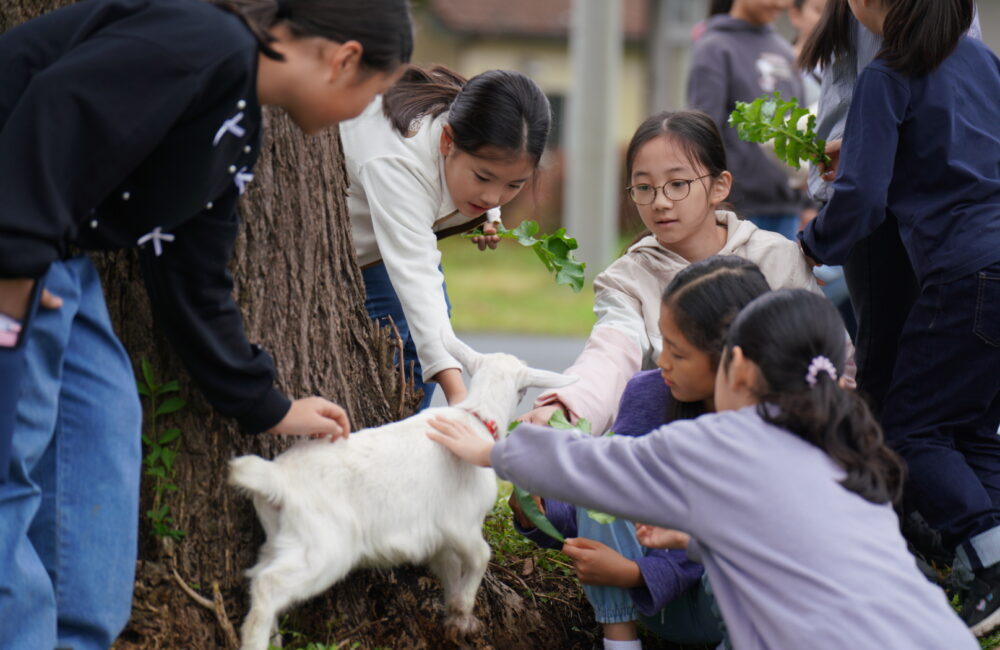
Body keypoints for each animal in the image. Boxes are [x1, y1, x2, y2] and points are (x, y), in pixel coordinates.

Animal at [226, 332, 572, 644]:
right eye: (522, 390)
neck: (475, 417)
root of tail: (276, 476)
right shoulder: (460, 522)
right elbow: (481, 556)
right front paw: (463, 610)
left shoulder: (438, 537)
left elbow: (448, 568)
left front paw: (454, 616)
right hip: (324, 545)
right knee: (268, 586)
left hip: (280, 536)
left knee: (256, 577)